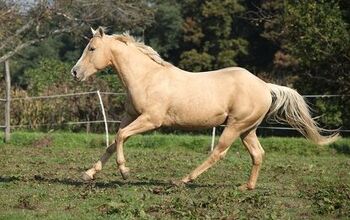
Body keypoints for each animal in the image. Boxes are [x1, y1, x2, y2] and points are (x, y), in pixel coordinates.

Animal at [72, 27, 340, 189]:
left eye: (92, 49)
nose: (74, 73)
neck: (147, 77)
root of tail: (264, 85)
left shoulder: (151, 120)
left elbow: (119, 137)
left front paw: (125, 171)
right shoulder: (131, 116)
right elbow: (113, 141)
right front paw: (88, 173)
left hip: (235, 126)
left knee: (218, 152)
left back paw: (183, 180)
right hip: (247, 130)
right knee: (258, 154)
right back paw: (246, 187)